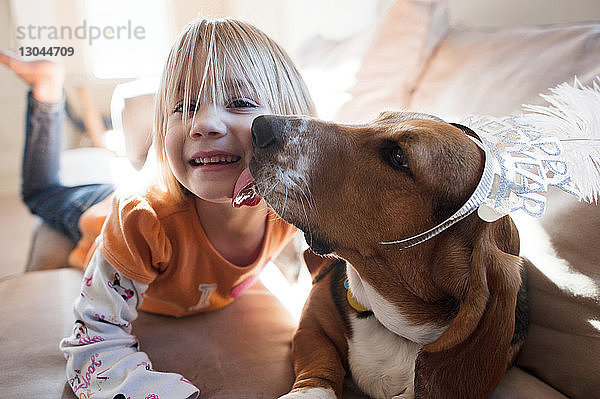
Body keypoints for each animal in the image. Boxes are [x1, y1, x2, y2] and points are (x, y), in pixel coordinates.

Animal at [246, 112, 528, 399]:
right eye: (379, 118)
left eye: (398, 156)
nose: (258, 127)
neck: (390, 322)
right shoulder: (313, 323)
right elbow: (322, 366)